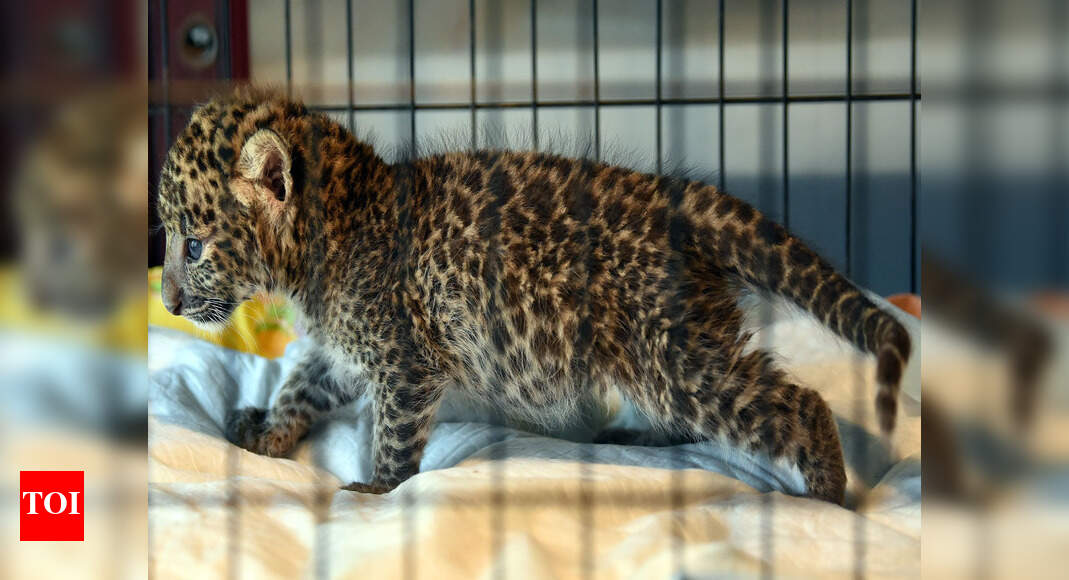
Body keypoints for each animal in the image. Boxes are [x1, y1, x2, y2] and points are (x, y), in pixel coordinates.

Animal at [155, 87, 911, 504]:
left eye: (192, 245)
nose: (165, 303)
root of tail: (686, 200)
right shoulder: (342, 349)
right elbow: (299, 384)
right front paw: (269, 433)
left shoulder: (405, 358)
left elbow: (395, 432)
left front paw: (378, 489)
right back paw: (625, 434)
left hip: (673, 354)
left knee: (793, 403)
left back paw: (826, 498)